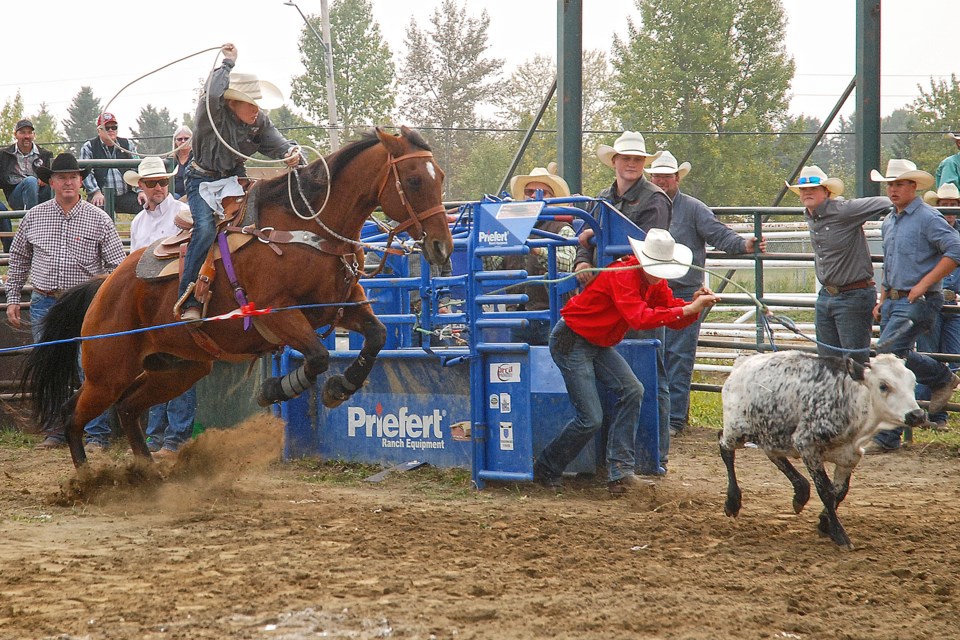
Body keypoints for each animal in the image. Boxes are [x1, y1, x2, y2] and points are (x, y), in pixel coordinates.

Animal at [21, 125, 454, 468]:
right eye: (414, 180)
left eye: (441, 177)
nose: (441, 247)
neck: (310, 229)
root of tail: (104, 285)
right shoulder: (278, 312)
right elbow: (317, 356)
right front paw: (277, 389)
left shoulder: (339, 307)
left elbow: (377, 336)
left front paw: (338, 389)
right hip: (107, 372)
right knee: (74, 414)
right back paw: (86, 479)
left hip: (178, 368)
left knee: (128, 409)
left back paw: (148, 476)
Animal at [716, 350, 928, 552]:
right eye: (883, 385)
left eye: (913, 381)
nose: (917, 415)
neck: (850, 402)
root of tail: (742, 363)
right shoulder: (807, 446)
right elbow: (826, 491)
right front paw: (840, 535)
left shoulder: (850, 457)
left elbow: (840, 492)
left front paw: (824, 523)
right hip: (737, 430)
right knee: (724, 445)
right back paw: (733, 501)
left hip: (772, 433)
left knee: (773, 454)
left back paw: (800, 493)